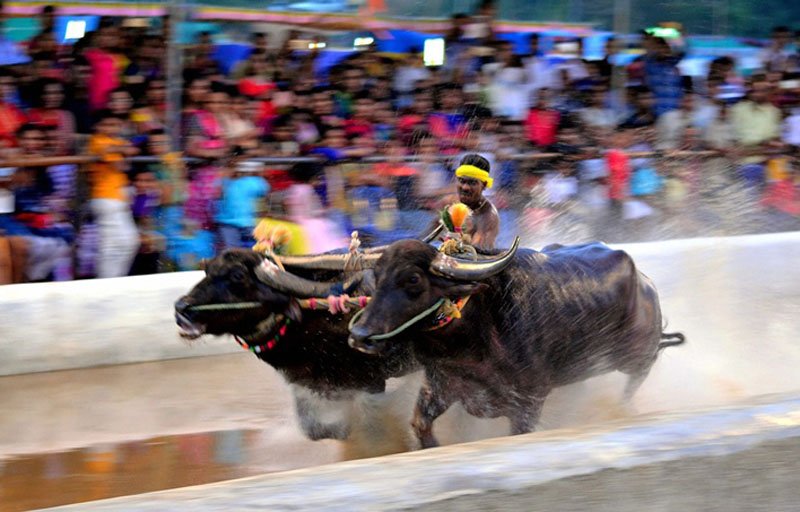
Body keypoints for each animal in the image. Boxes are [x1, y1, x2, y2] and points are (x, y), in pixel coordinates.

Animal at [348, 239, 685, 448]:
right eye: (377, 277)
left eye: (413, 279)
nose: (360, 335)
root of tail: (646, 286)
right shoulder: (441, 386)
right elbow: (420, 424)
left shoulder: (527, 404)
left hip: (639, 360)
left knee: (631, 386)